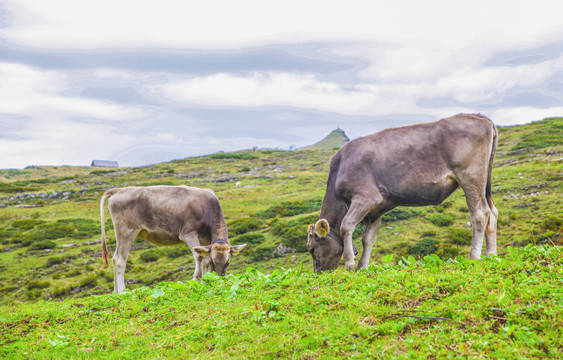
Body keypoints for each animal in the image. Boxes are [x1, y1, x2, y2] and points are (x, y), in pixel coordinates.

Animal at [100, 186, 246, 292]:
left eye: (227, 263)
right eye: (213, 263)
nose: (219, 280)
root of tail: (118, 190)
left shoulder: (205, 240)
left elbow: (204, 260)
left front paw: (206, 280)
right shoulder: (188, 234)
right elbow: (199, 257)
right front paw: (196, 279)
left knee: (114, 258)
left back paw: (116, 292)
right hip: (126, 231)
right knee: (120, 260)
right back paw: (122, 291)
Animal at [308, 114, 498, 272]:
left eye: (311, 249)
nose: (318, 273)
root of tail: (480, 117)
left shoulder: (366, 197)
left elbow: (346, 225)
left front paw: (350, 263)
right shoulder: (377, 208)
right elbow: (368, 238)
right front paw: (363, 267)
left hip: (471, 176)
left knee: (480, 214)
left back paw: (474, 256)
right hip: (483, 182)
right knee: (493, 213)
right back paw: (491, 255)